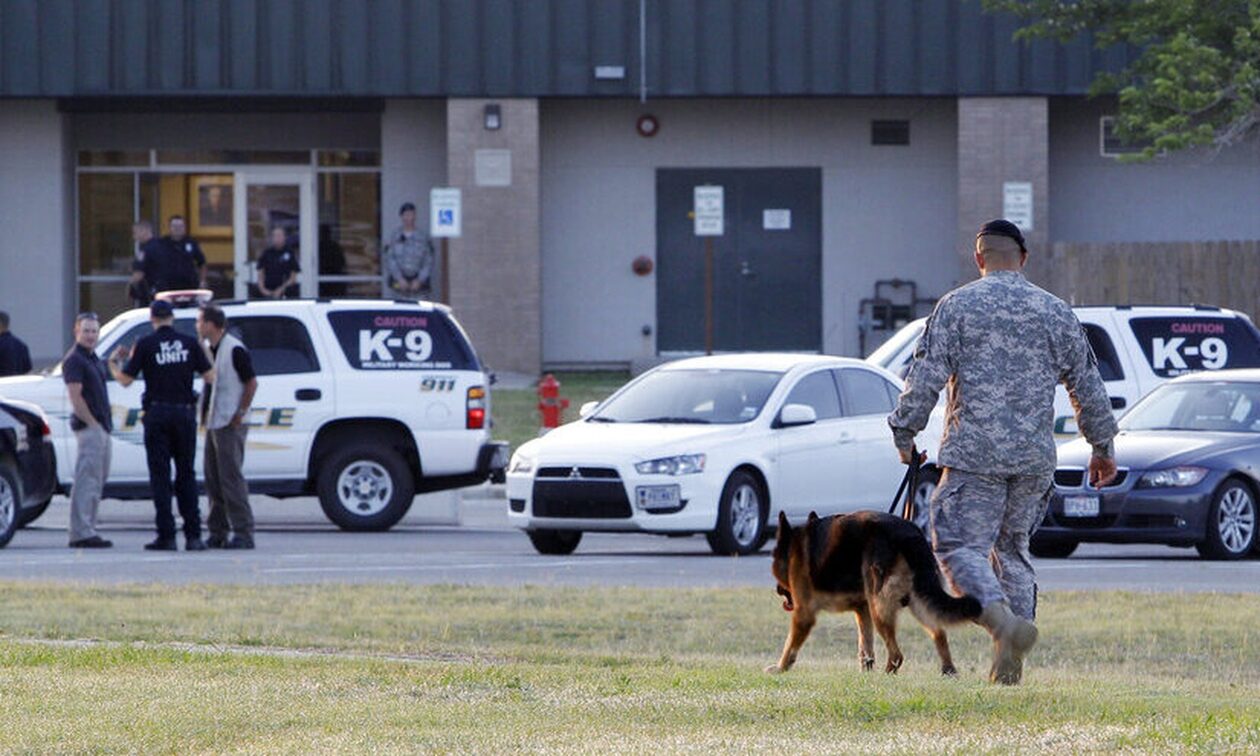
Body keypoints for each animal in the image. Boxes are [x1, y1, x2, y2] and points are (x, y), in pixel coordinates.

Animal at [766, 511, 982, 675]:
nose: (777, 589)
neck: (792, 548)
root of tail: (912, 534)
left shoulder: (803, 614)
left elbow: (789, 645)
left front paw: (780, 667)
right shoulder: (862, 610)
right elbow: (865, 646)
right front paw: (865, 674)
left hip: (880, 605)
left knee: (897, 654)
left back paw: (887, 675)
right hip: (917, 601)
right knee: (939, 633)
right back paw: (948, 671)